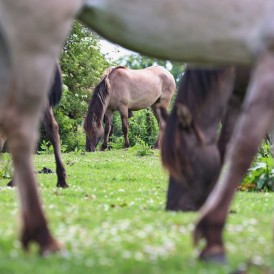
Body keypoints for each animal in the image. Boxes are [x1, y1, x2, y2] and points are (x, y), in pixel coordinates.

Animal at [1, 0, 274, 260]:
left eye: (91, 133)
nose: (89, 149)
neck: (111, 85)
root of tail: (167, 72)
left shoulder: (122, 108)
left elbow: (122, 128)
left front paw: (123, 145)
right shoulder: (110, 110)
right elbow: (109, 128)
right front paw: (106, 146)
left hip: (161, 104)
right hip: (154, 106)